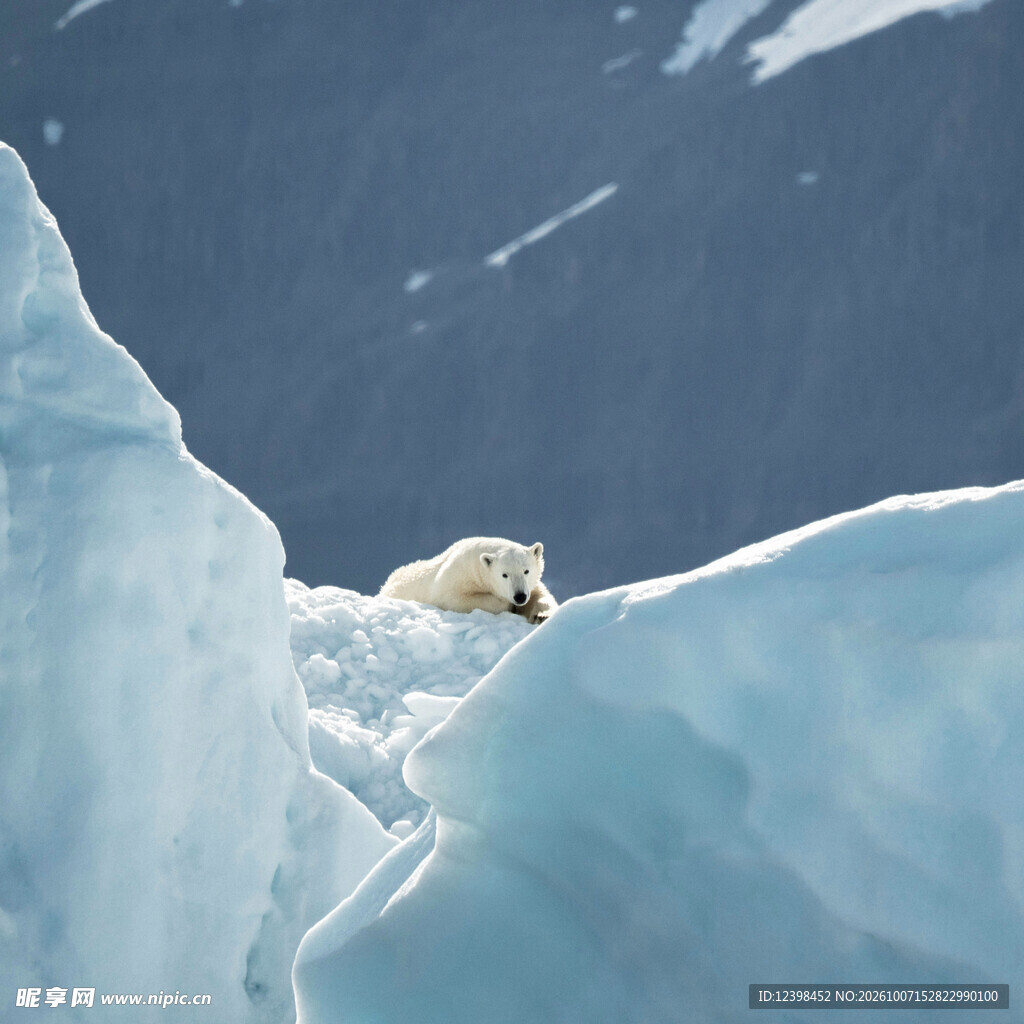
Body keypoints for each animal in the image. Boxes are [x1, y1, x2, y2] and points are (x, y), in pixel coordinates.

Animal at [379, 537, 558, 624]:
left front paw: (542, 616)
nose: (519, 596)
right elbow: (455, 599)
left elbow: (540, 595)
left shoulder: (531, 585)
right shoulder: (457, 578)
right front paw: (507, 604)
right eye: (504, 574)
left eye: (526, 571)